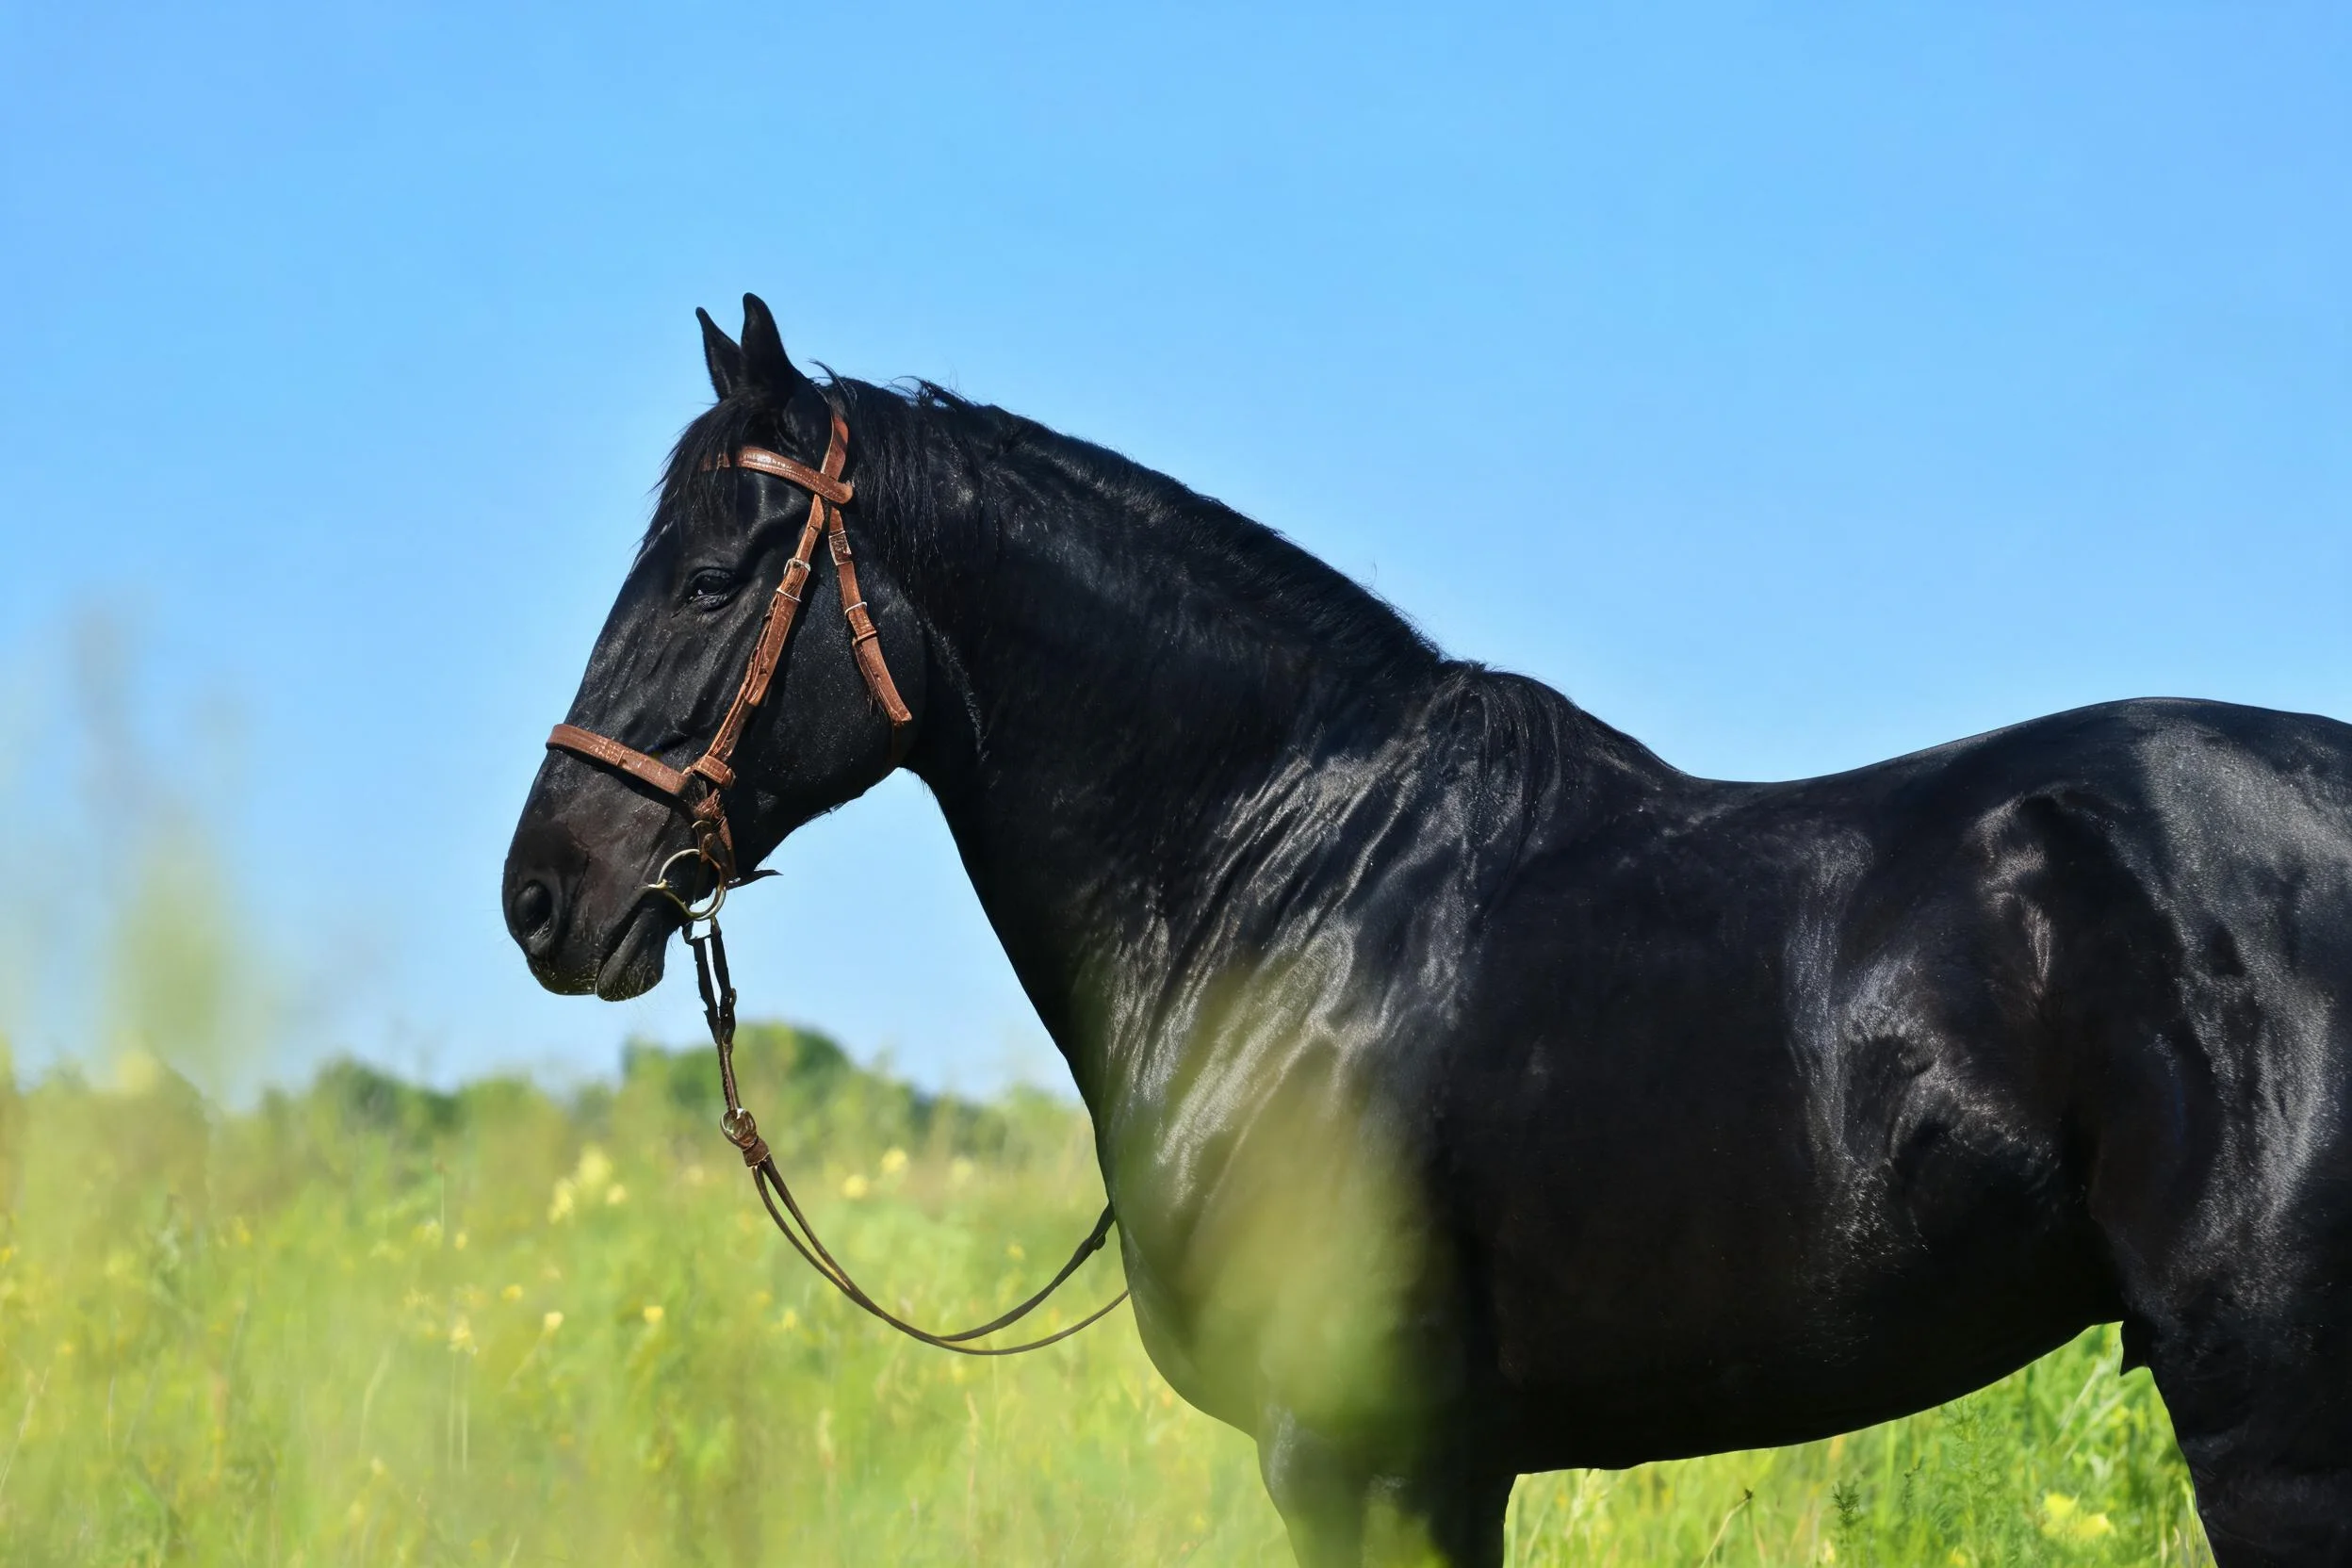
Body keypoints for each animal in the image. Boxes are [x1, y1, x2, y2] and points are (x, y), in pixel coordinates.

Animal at [505, 296, 2352, 1566]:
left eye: (709, 578)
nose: (544, 893)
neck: (1277, 882)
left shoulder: (1352, 1455)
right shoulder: (1454, 1467)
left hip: (2270, 1412)